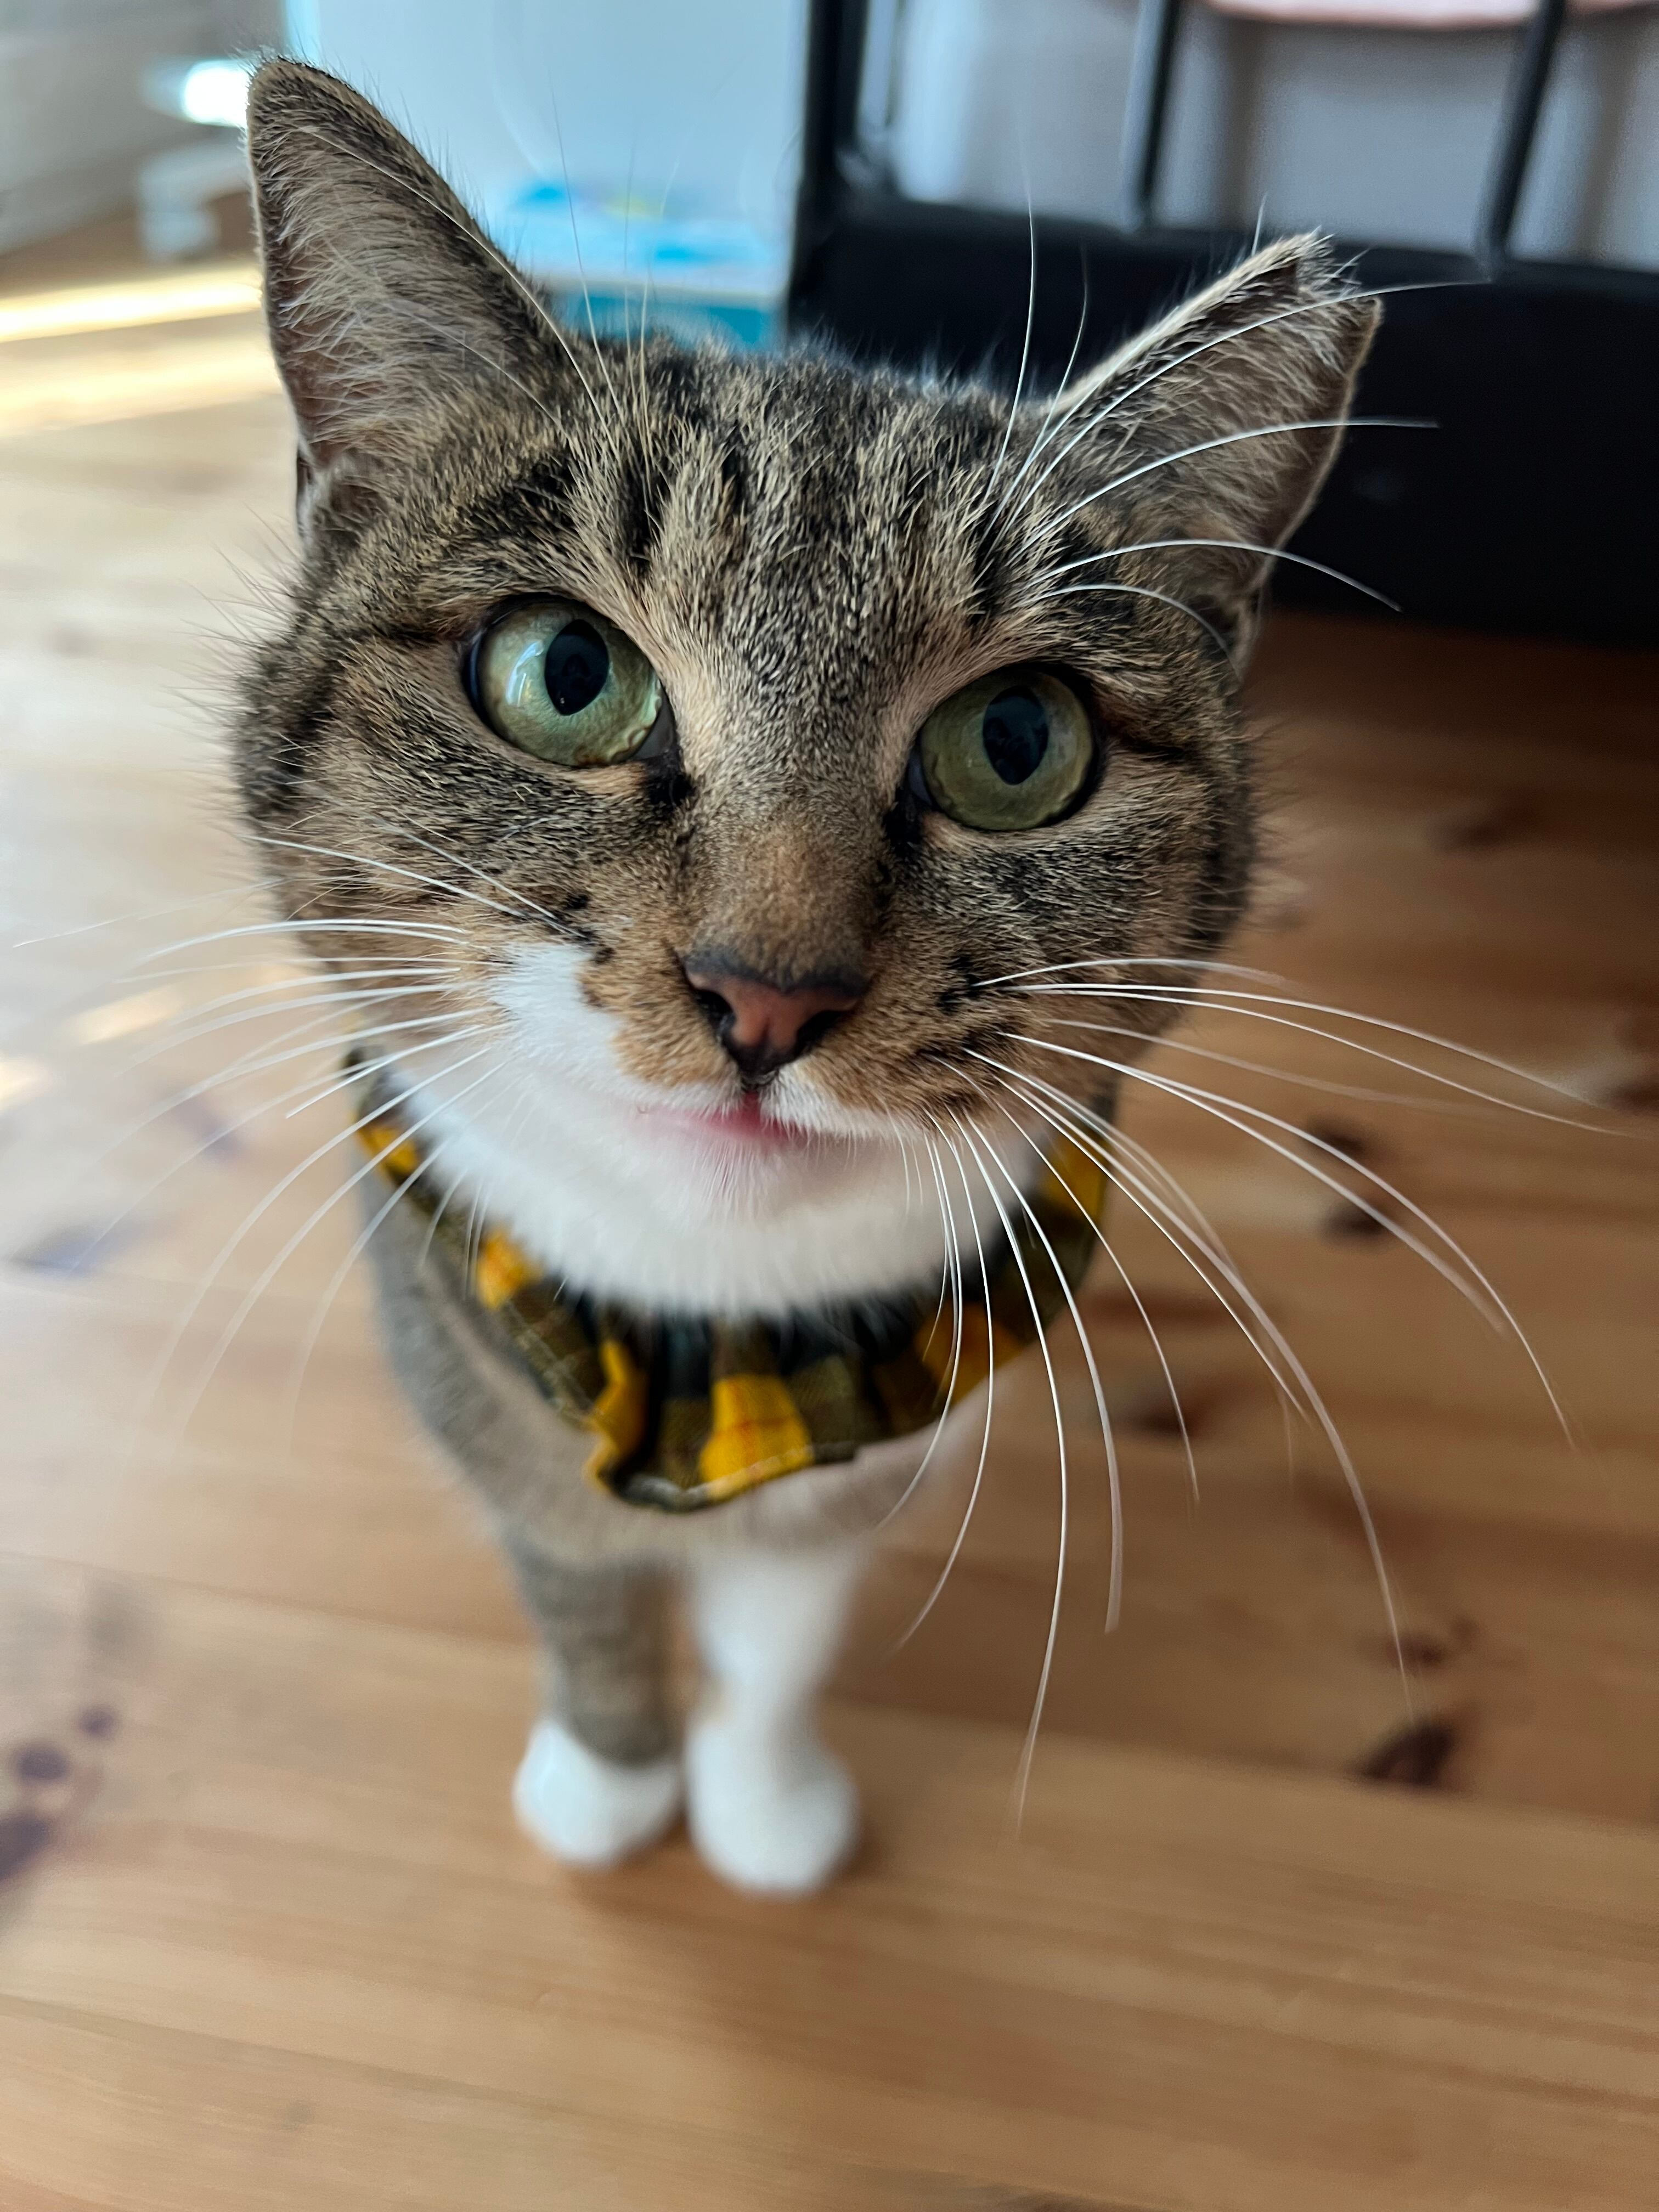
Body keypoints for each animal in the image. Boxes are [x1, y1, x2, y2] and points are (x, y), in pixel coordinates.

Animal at [234, 59, 1378, 1893]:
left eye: (1017, 742)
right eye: (565, 674)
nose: (767, 992)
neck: (717, 1331)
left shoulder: (882, 1454)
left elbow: (783, 1635)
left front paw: (765, 1806)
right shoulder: (470, 1365)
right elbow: (576, 1580)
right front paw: (612, 1774)